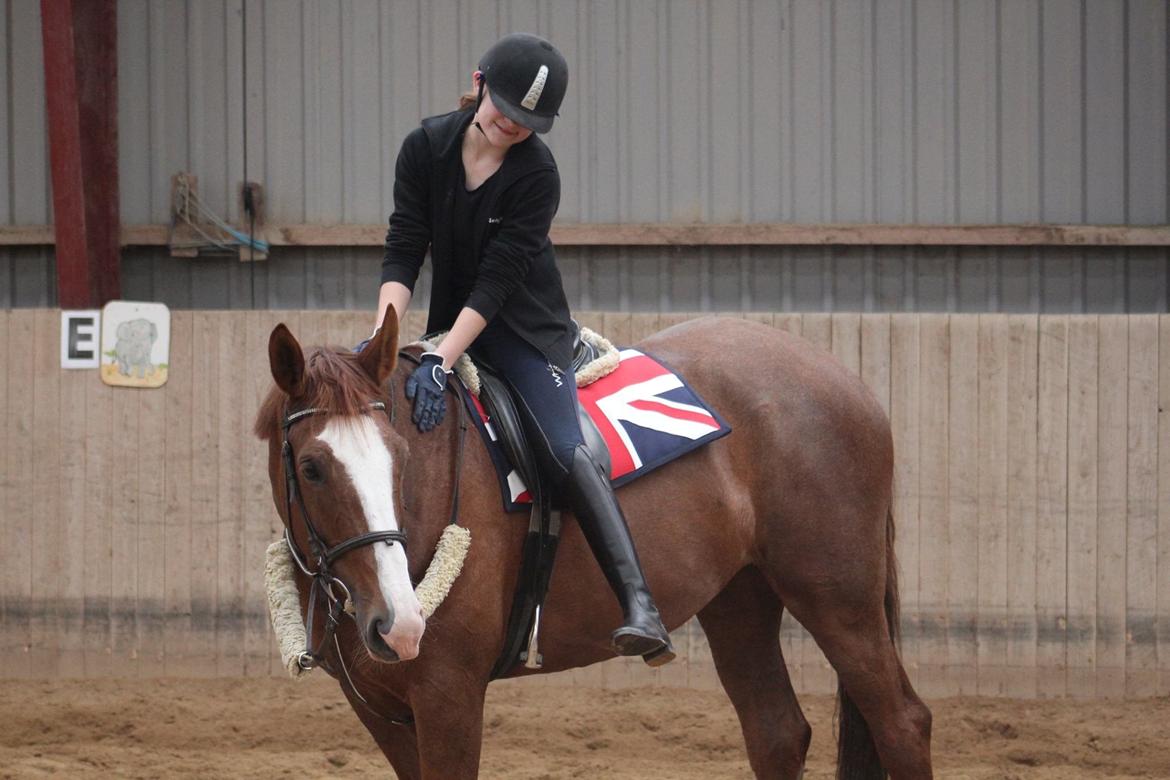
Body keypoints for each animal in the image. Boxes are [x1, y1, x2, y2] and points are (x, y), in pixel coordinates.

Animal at [253, 313, 931, 780]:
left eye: (398, 455)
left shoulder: (449, 695)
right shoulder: (381, 710)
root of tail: (840, 377)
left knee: (903, 723)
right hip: (740, 602)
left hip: (838, 601)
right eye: (311, 468)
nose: (398, 623)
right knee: (777, 733)